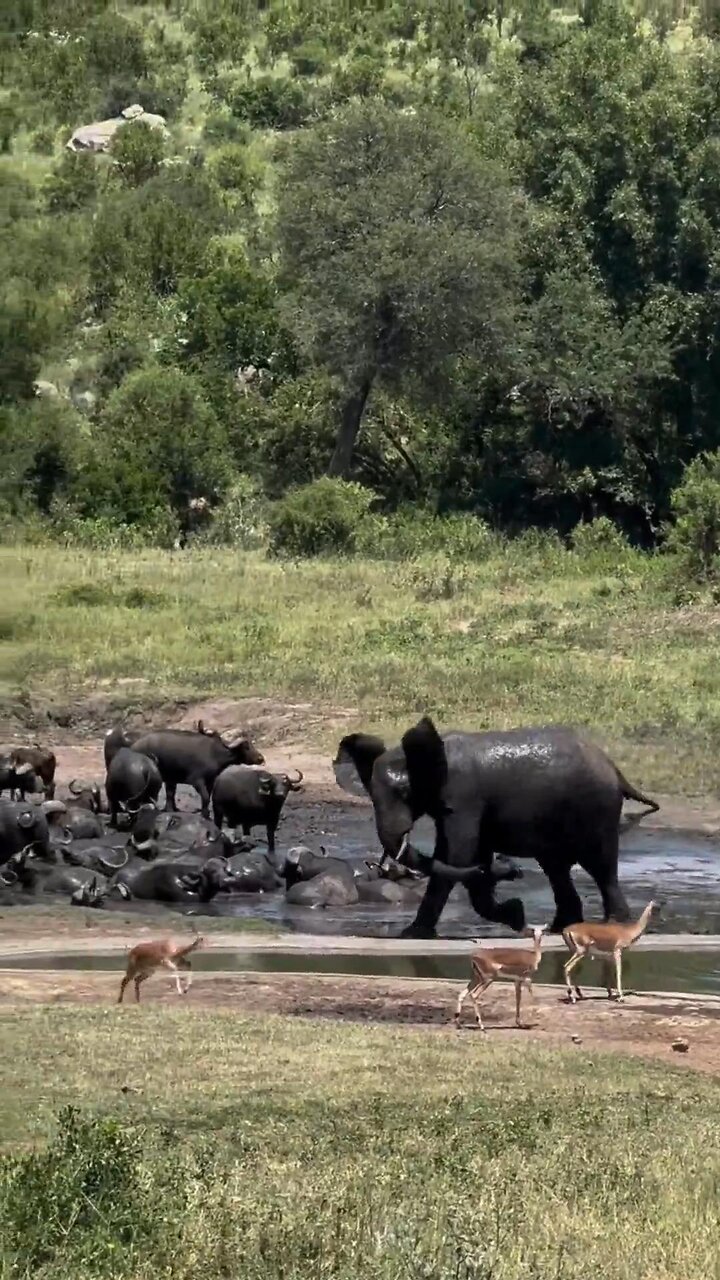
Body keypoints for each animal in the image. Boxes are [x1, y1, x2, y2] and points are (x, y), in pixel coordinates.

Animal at [334, 716, 659, 938]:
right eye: (372, 797)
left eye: (404, 794)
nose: (512, 869)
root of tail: (615, 768)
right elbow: (467, 858)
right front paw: (514, 913)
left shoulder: (464, 796)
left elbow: (457, 856)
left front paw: (412, 935)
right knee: (556, 868)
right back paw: (559, 928)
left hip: (596, 807)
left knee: (599, 865)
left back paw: (614, 925)